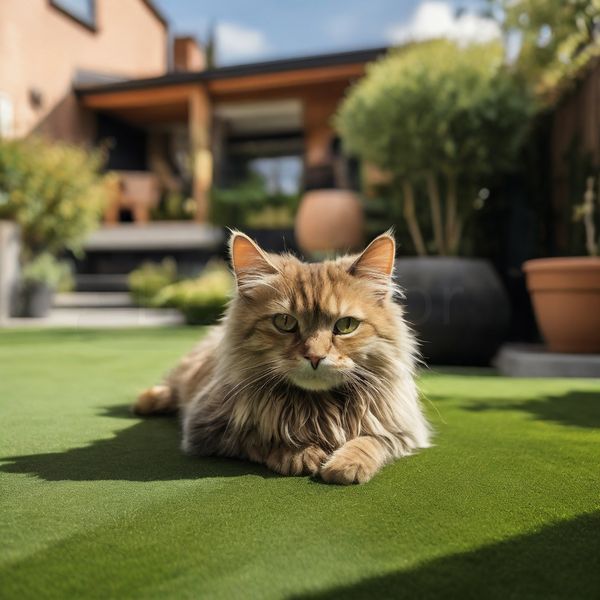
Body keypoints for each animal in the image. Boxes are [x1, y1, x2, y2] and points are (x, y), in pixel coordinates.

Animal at [134, 230, 428, 482]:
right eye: (285, 322)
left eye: (345, 325)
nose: (315, 357)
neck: (316, 407)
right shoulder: (207, 427)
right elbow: (260, 437)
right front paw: (300, 453)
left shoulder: (402, 429)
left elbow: (372, 440)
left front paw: (347, 464)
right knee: (170, 387)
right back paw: (147, 401)